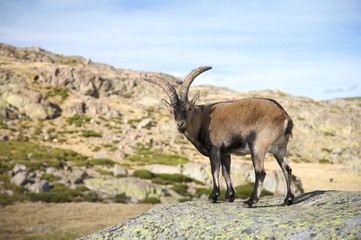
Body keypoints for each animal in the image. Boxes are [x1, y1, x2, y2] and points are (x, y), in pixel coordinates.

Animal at [142, 66, 294, 207]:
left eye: (188, 109)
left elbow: (214, 170)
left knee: (260, 172)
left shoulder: (214, 149)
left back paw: (250, 201)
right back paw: (288, 200)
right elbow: (226, 172)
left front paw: (213, 196)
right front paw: (229, 196)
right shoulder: (225, 153)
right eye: (172, 111)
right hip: (280, 148)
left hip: (258, 147)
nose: (180, 124)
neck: (202, 120)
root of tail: (284, 116)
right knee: (287, 169)